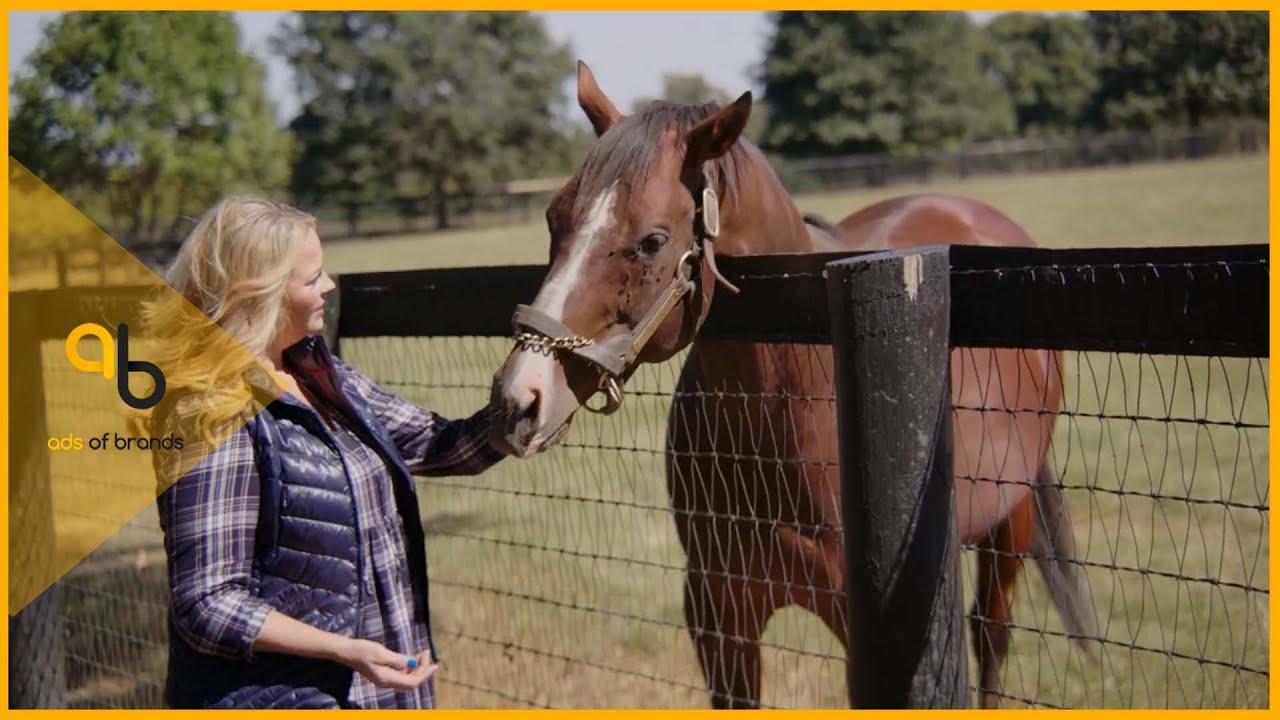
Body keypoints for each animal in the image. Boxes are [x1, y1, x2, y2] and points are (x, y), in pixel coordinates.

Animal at [487, 61, 1096, 709]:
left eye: (652, 241)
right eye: (554, 219)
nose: (518, 401)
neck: (789, 406)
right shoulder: (720, 613)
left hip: (1012, 521)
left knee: (992, 635)